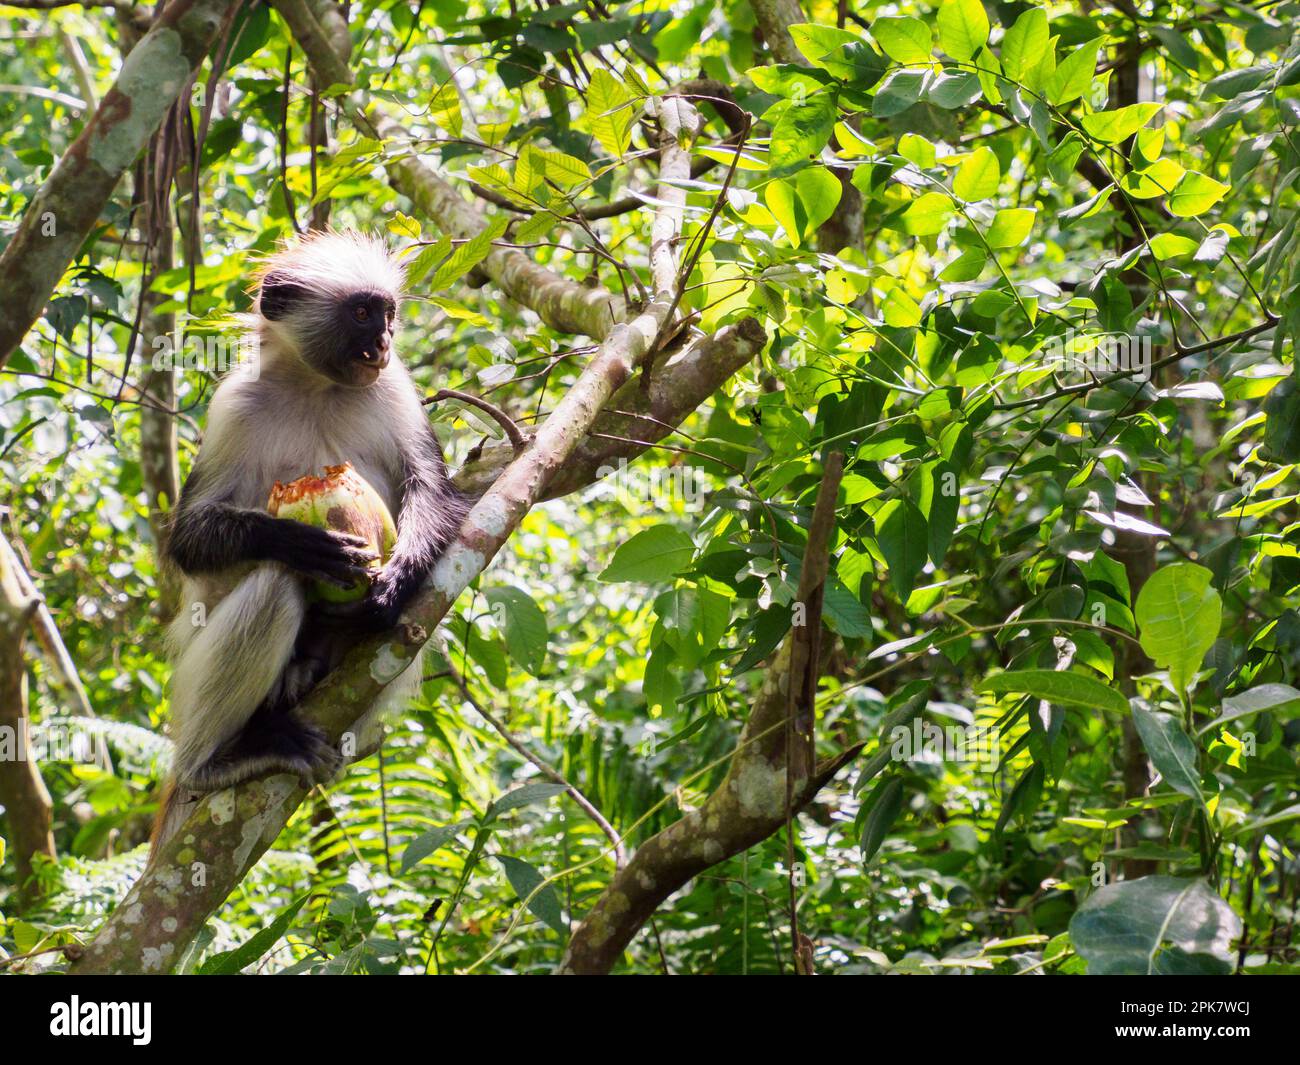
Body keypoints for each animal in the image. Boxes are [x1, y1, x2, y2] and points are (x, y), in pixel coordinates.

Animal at [151, 230, 469, 851]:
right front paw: (296, 541)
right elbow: (189, 539)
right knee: (277, 583)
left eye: (387, 313)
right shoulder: (234, 405)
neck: (316, 387)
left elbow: (434, 490)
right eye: (363, 314)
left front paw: (395, 582)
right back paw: (211, 762)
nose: (385, 341)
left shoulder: (395, 389)